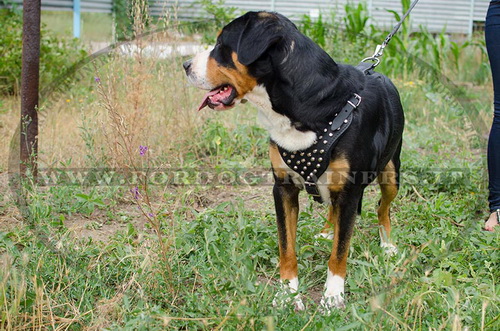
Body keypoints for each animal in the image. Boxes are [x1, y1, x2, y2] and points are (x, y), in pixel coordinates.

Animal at [182, 11, 404, 314]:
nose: (185, 65)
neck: (311, 104)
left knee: (383, 206)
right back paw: (327, 232)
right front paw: (288, 294)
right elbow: (286, 247)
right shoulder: (283, 188)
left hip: (391, 172)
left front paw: (332, 297)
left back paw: (388, 245)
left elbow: (340, 252)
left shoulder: (349, 191)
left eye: (221, 45)